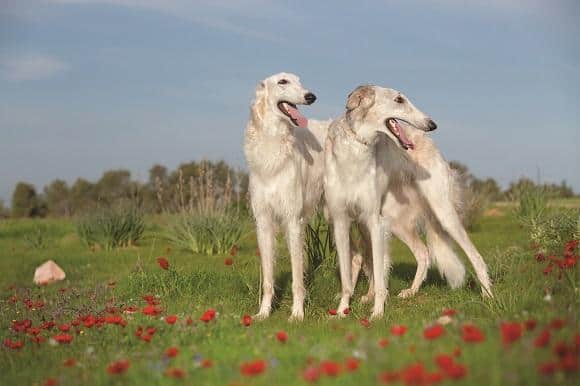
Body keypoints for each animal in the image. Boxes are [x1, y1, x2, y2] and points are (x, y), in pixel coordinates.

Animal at [242, 72, 328, 320]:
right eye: (282, 81)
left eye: (299, 81)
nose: (311, 96)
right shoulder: (263, 222)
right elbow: (268, 278)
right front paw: (263, 312)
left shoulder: (293, 221)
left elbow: (297, 278)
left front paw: (297, 314)